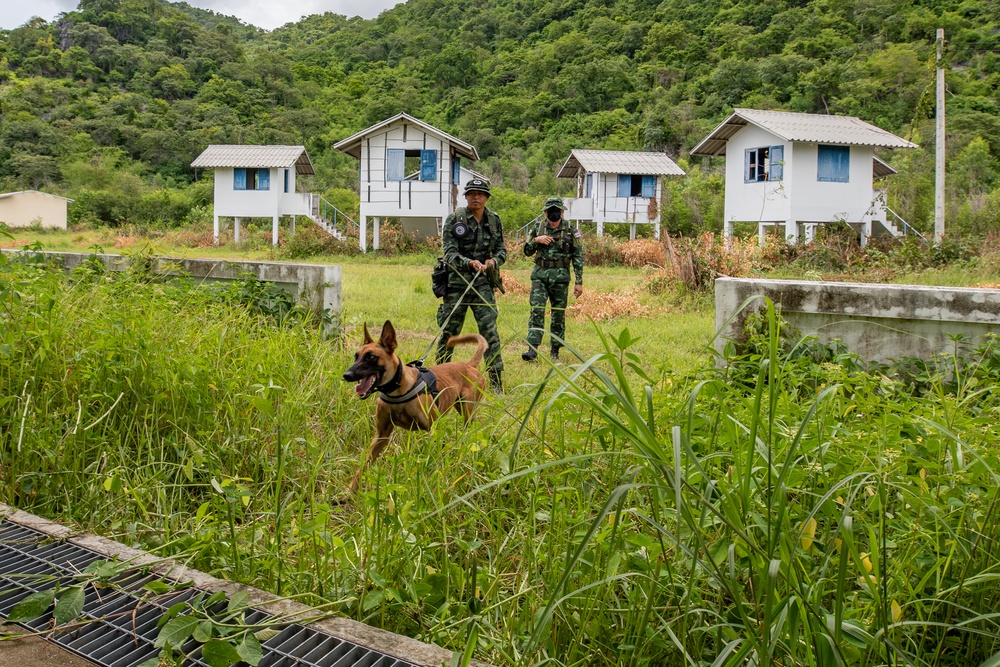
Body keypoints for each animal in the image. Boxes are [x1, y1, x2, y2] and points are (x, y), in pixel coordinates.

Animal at [340, 320, 488, 494]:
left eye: (371, 357)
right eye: (356, 356)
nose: (346, 375)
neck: (398, 390)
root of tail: (468, 365)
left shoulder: (432, 430)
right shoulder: (381, 435)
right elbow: (364, 464)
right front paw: (349, 491)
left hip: (468, 414)